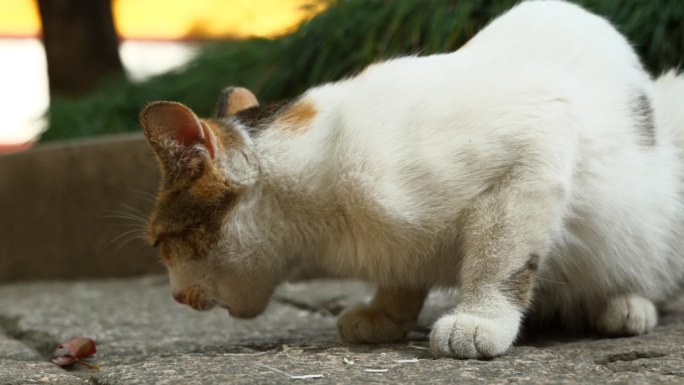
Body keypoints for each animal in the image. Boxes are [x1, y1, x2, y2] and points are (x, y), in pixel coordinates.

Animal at [138, 0, 684, 358]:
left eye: (163, 243)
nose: (175, 297)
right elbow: (402, 270)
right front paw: (387, 313)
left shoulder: (536, 146)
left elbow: (498, 259)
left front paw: (481, 319)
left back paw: (626, 303)